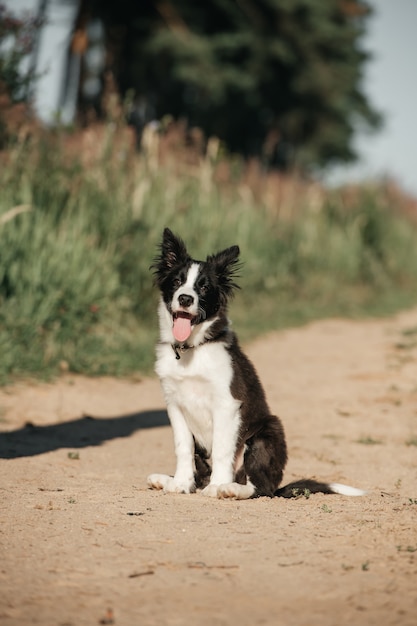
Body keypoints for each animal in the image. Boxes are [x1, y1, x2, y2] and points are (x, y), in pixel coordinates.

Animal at [148, 228, 362, 498]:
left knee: (260, 487)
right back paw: (169, 480)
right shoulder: (175, 404)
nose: (185, 298)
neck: (192, 350)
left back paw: (229, 488)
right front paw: (181, 483)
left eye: (204, 287)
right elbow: (183, 446)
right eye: (177, 281)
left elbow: (222, 448)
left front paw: (217, 486)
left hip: (267, 432)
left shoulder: (227, 403)